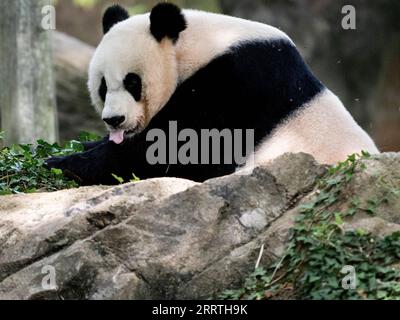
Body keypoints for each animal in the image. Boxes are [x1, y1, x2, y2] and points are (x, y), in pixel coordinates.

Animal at [46, 2, 378, 185]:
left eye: (132, 83)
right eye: (103, 87)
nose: (114, 120)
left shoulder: (232, 85)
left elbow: (175, 150)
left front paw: (62, 163)